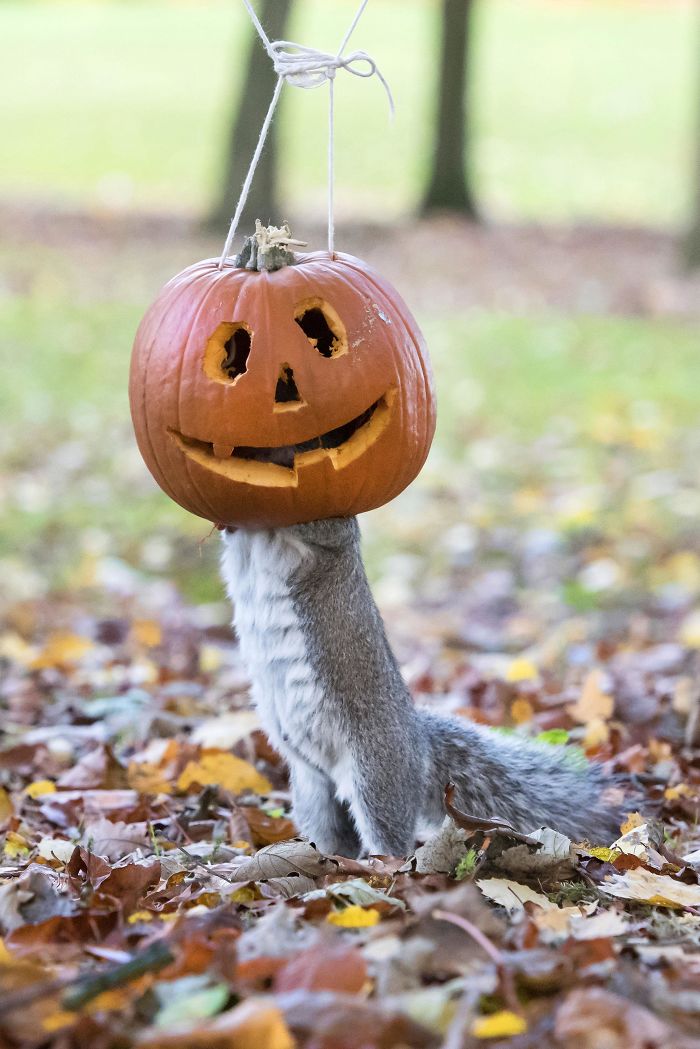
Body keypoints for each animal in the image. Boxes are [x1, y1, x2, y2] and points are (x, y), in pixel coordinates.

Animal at [221, 517, 625, 857]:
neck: (261, 537)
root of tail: (419, 748)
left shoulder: (335, 532)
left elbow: (318, 529)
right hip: (312, 791)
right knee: (332, 832)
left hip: (376, 775)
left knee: (388, 835)